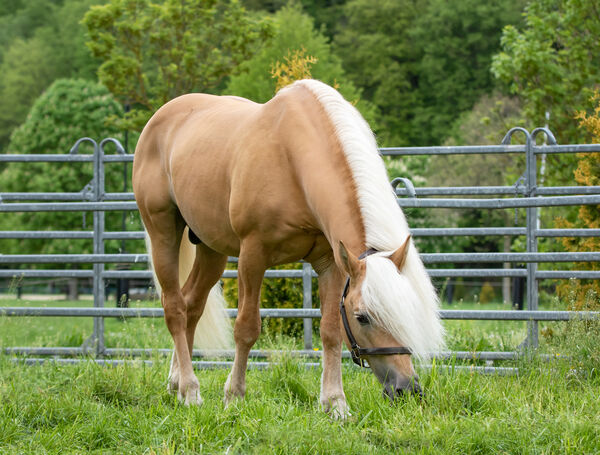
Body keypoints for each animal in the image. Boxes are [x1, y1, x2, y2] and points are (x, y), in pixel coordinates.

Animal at [134, 78, 442, 416]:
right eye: (362, 317)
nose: (407, 389)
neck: (293, 160)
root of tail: (160, 118)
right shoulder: (253, 256)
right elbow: (246, 328)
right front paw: (234, 396)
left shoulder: (332, 263)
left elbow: (330, 331)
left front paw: (335, 403)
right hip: (163, 231)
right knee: (174, 307)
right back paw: (190, 389)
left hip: (211, 248)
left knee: (192, 305)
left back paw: (177, 384)